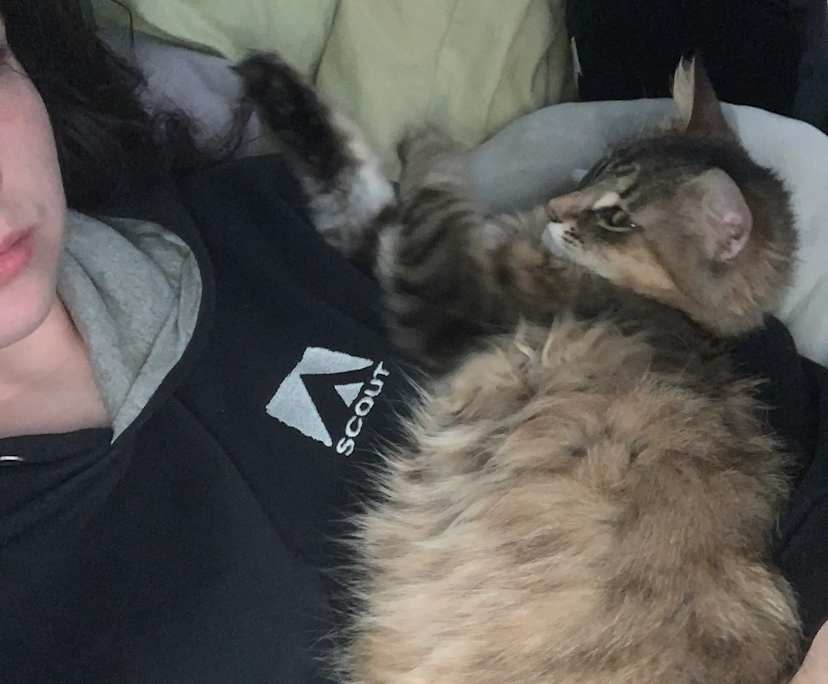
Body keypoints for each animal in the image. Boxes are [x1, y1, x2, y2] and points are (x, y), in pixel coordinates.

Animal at [236, 55, 801, 683]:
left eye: (617, 217)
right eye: (597, 171)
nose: (556, 209)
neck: (672, 312)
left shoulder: (447, 298)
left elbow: (418, 197)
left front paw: (429, 144)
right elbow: (356, 184)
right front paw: (278, 91)